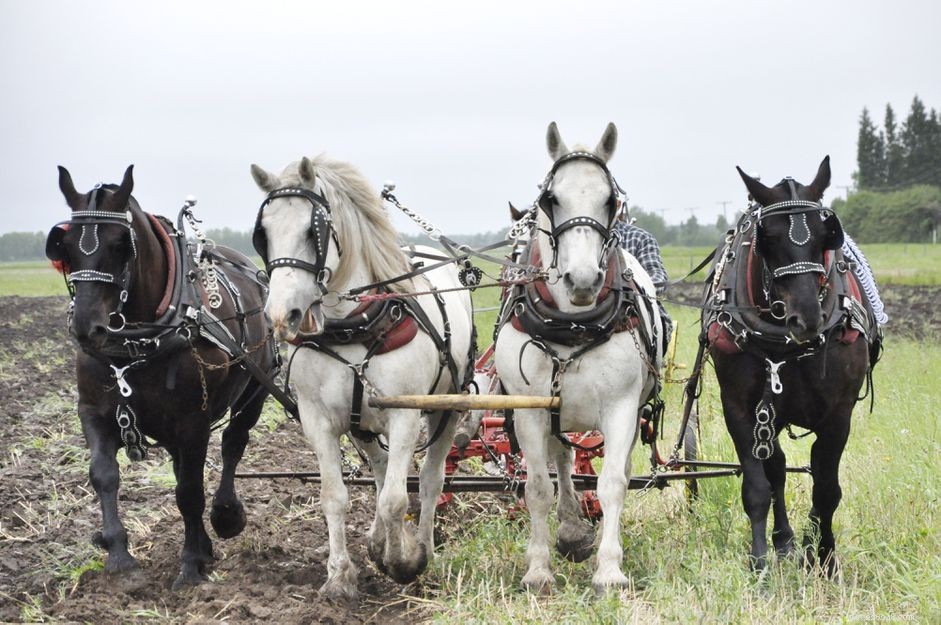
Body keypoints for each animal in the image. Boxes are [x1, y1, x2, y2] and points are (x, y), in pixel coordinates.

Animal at [46, 166, 278, 588]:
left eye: (121, 244)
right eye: (64, 245)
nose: (87, 327)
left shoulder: (193, 421)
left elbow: (189, 492)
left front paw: (189, 565)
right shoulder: (95, 413)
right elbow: (104, 475)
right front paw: (119, 553)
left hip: (255, 389)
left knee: (233, 445)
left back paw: (225, 515)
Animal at [249, 155, 475, 600]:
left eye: (312, 230)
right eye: (263, 234)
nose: (283, 316)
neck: (352, 327)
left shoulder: (405, 415)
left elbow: (395, 499)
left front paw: (405, 560)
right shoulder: (317, 420)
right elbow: (334, 496)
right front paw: (340, 576)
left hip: (446, 410)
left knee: (429, 480)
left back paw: (424, 547)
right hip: (363, 424)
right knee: (381, 469)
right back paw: (378, 541)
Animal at [494, 123, 664, 592]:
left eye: (610, 200)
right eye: (551, 199)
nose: (583, 280)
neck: (570, 324)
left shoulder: (622, 407)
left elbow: (612, 483)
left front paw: (610, 569)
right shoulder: (529, 410)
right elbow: (537, 487)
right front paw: (538, 569)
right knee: (564, 460)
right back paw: (570, 531)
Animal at [701, 156, 873, 574]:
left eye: (826, 234)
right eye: (770, 238)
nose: (807, 317)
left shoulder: (839, 413)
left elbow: (826, 489)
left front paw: (824, 558)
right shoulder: (740, 409)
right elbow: (757, 487)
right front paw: (760, 561)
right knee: (776, 469)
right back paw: (783, 541)